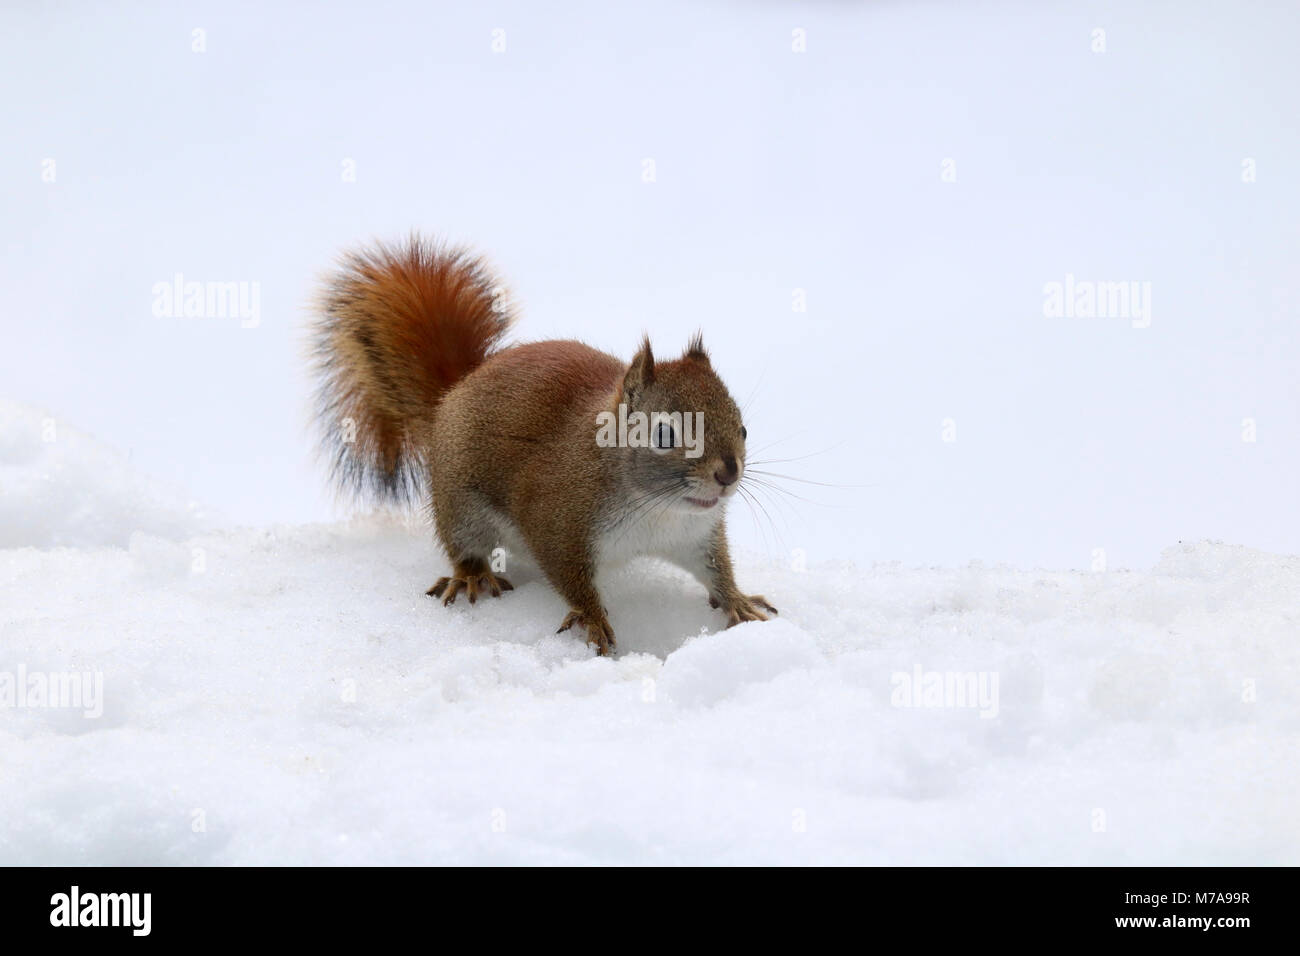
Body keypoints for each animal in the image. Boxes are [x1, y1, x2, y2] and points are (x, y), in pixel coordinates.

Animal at [306, 235, 769, 655]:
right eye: (663, 434)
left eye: (744, 428)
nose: (728, 472)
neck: (659, 509)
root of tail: (451, 395)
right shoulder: (556, 521)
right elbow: (570, 578)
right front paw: (593, 619)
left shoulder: (695, 536)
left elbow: (715, 569)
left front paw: (738, 601)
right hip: (460, 505)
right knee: (463, 546)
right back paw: (472, 575)